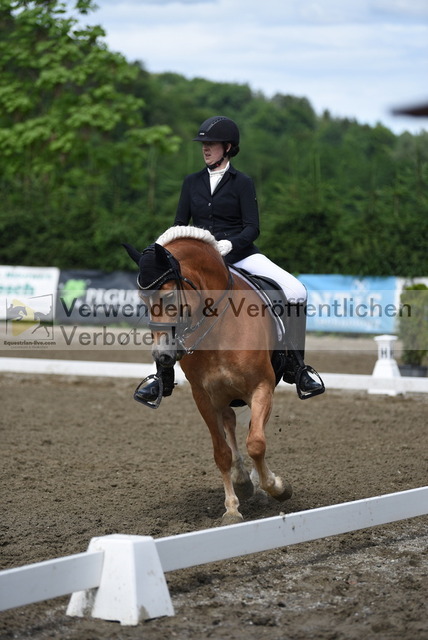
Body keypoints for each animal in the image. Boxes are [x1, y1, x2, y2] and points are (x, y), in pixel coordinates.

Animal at [124, 226, 292, 525]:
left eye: (169, 297)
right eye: (143, 301)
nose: (162, 355)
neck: (221, 326)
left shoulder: (261, 386)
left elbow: (256, 443)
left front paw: (276, 487)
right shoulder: (203, 397)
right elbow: (221, 452)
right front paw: (232, 508)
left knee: (250, 430)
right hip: (223, 396)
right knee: (231, 424)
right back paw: (242, 480)